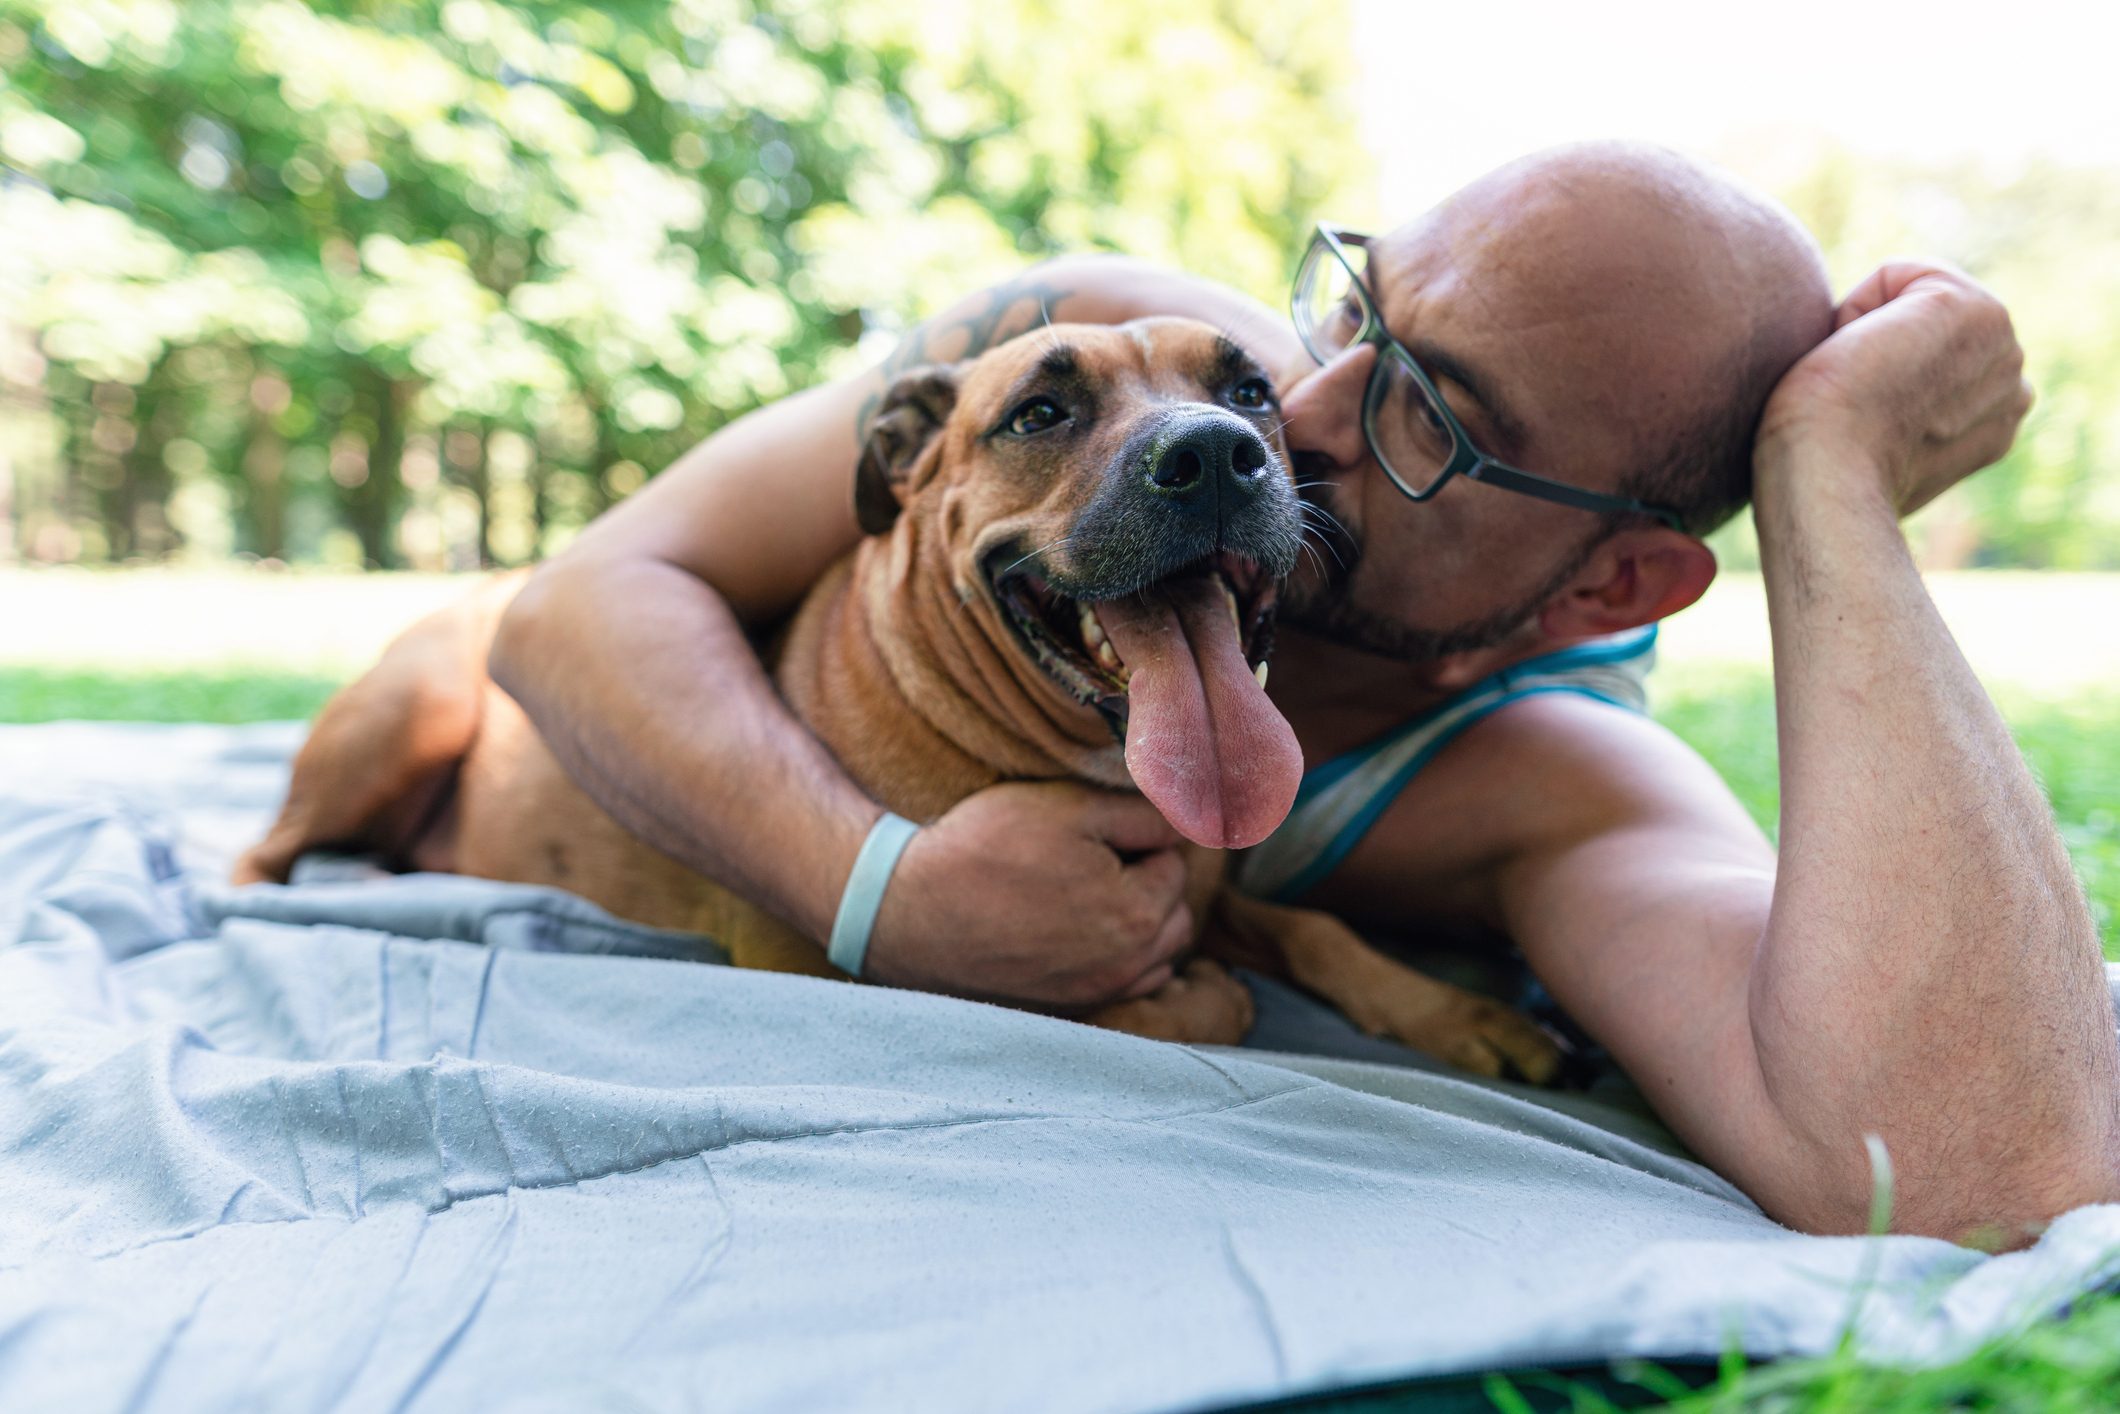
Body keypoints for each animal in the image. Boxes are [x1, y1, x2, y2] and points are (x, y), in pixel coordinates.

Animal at [236, 320, 1560, 1085]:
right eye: (1038, 411)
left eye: (1251, 393)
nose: (1212, 454)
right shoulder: (843, 961)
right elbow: (1145, 1008)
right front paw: (1193, 993)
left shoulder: (1214, 883)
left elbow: (1313, 927)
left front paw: (1453, 1013)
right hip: (407, 714)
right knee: (260, 850)